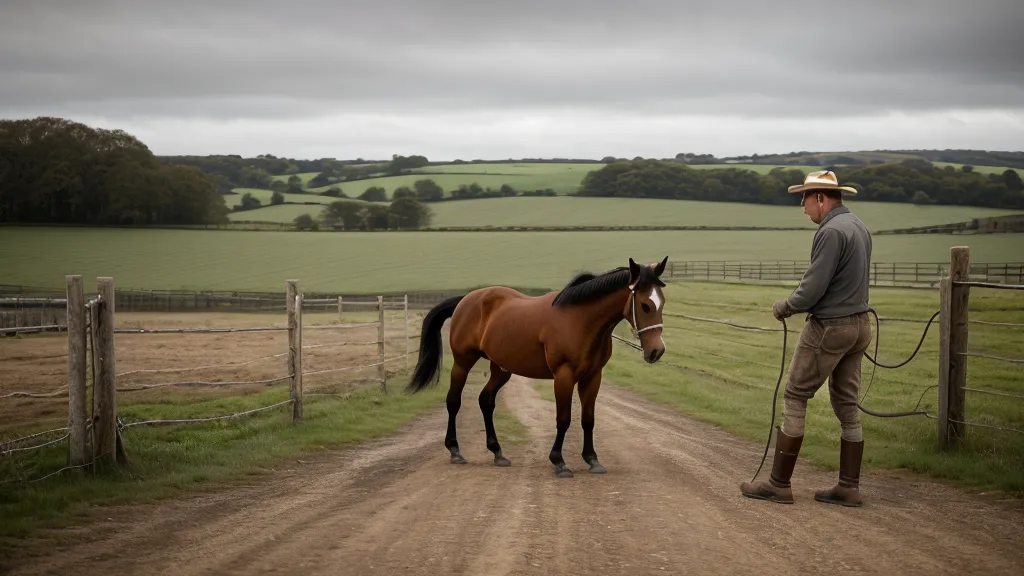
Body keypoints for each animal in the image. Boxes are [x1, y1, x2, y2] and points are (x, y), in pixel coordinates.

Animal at [405, 256, 669, 478]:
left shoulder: (593, 377)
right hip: (463, 362)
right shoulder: (563, 376)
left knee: (486, 401)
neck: (580, 321)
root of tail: (466, 299)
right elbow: (563, 419)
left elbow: (588, 419)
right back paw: (455, 451)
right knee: (453, 401)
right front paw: (559, 462)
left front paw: (592, 460)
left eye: (662, 302)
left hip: (501, 368)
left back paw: (498, 453)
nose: (657, 351)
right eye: (645, 305)